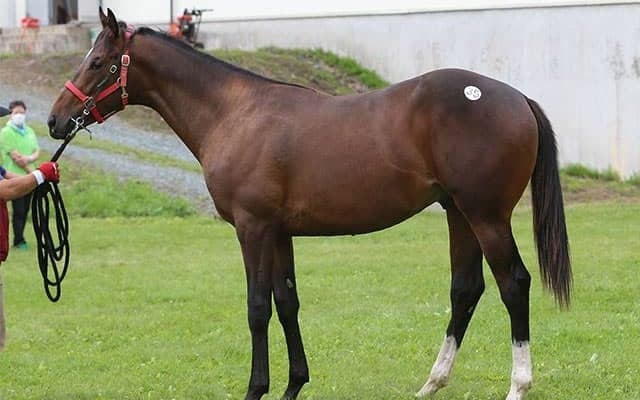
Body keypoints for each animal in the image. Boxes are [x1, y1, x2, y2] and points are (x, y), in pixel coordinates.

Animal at [47, 8, 571, 400]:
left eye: (97, 61)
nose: (55, 121)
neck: (235, 113)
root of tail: (516, 97)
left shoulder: (253, 228)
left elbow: (258, 306)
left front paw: (256, 389)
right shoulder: (279, 232)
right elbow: (287, 303)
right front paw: (293, 385)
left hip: (486, 216)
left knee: (513, 284)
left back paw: (517, 385)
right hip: (458, 214)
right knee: (466, 289)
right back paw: (431, 383)